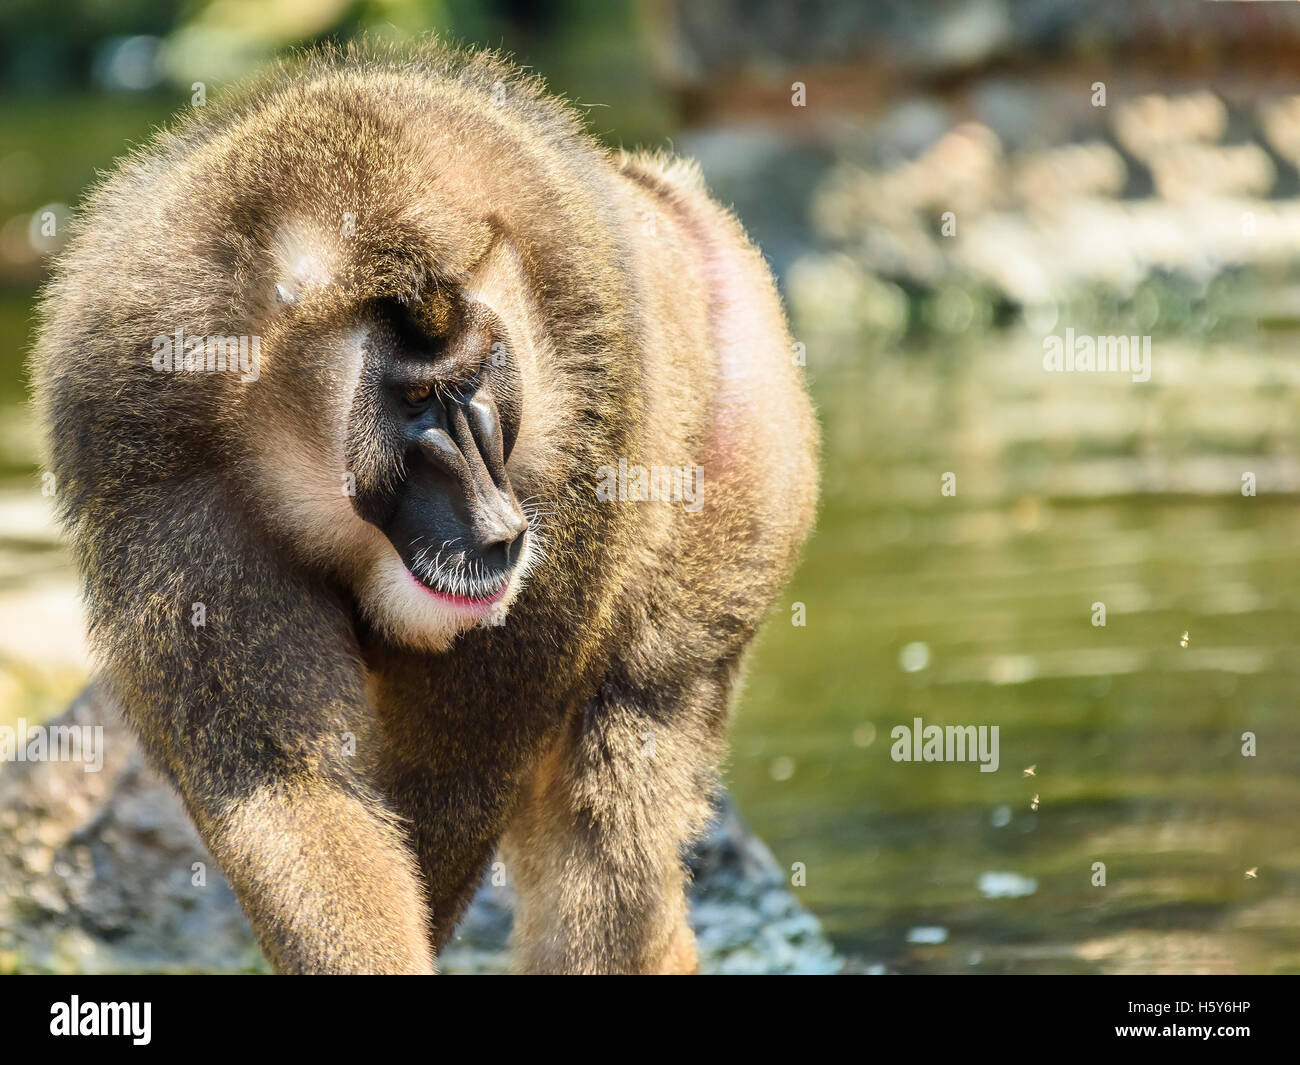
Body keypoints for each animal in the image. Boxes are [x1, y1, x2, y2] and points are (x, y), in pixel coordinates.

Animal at [29, 39, 818, 974]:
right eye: (412, 400)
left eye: (472, 381)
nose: (500, 527)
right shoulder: (149, 456)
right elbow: (291, 782)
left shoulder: (588, 393)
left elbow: (464, 769)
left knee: (611, 821)